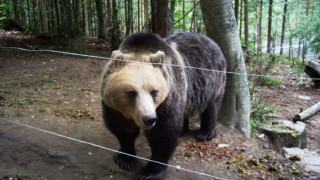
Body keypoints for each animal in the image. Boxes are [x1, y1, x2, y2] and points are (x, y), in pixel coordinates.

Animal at [101, 32, 226, 180]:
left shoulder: (167, 97)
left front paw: (149, 172)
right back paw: (183, 130)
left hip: (211, 80)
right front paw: (125, 159)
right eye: (131, 92)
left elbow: (163, 133)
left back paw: (205, 133)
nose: (149, 118)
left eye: (154, 91)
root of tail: (211, 41)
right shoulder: (115, 107)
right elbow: (122, 128)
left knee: (211, 107)